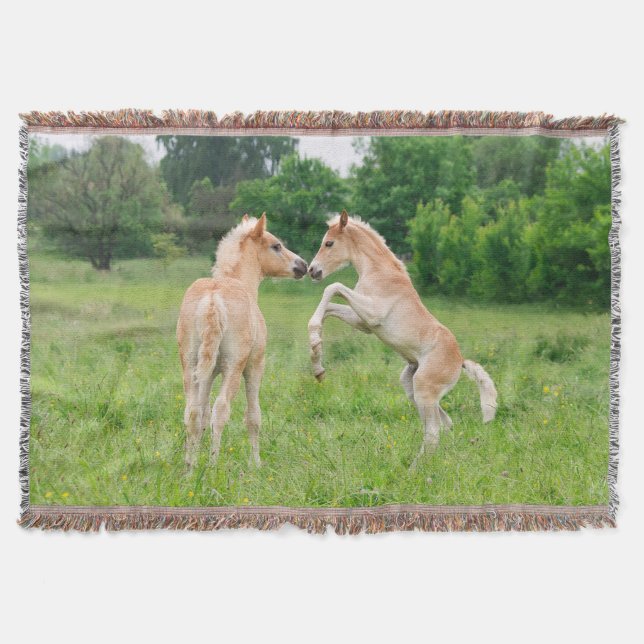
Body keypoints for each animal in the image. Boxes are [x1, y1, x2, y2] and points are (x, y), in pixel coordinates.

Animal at [177, 213, 308, 468]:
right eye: (276, 246)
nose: (303, 265)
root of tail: (213, 299)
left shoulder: (208, 373)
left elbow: (202, 414)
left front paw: (194, 456)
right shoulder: (255, 366)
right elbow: (253, 416)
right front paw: (256, 463)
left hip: (191, 365)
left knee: (192, 412)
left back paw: (189, 467)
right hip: (234, 367)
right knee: (221, 410)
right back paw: (212, 465)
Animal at [307, 210, 497, 468]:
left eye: (329, 243)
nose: (312, 270)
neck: (379, 272)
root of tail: (460, 361)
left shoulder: (372, 314)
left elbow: (333, 287)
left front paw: (315, 348)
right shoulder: (363, 322)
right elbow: (329, 307)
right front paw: (317, 360)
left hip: (424, 389)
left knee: (433, 431)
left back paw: (414, 469)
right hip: (413, 387)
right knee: (445, 424)